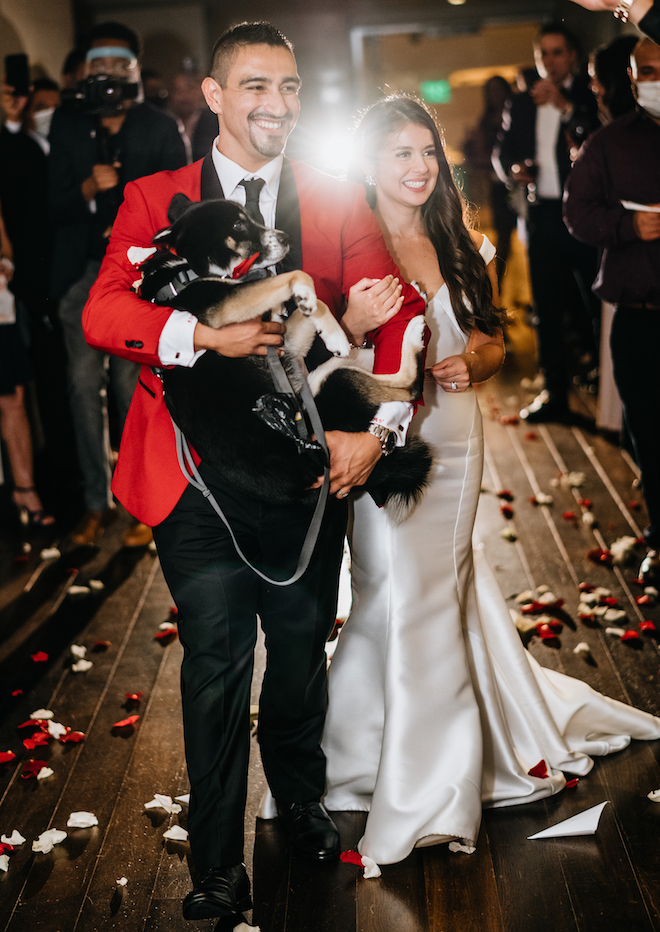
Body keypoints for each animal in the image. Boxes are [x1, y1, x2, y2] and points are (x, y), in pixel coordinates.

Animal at [139, 196, 434, 512]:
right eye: (238, 225)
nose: (286, 238)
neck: (188, 269)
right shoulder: (223, 309)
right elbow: (297, 277)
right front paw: (334, 331)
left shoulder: (284, 339)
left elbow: (310, 303)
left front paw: (328, 327)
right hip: (335, 381)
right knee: (409, 385)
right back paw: (414, 332)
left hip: (329, 374)